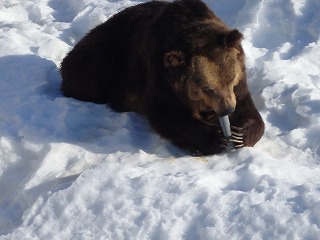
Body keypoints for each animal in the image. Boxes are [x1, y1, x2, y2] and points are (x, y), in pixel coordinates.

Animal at [60, 0, 264, 155]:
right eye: (207, 88)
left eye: (231, 79)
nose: (227, 109)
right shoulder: (160, 79)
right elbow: (168, 116)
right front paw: (215, 138)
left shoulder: (239, 83)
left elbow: (248, 108)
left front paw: (241, 134)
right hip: (105, 61)